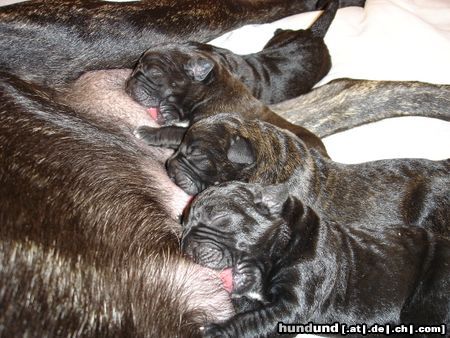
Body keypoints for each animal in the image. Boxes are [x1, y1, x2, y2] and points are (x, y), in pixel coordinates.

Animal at [180, 182, 450, 338]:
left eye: (219, 218)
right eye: (182, 223)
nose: (184, 244)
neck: (285, 241)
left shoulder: (292, 304)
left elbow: (251, 321)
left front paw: (216, 331)